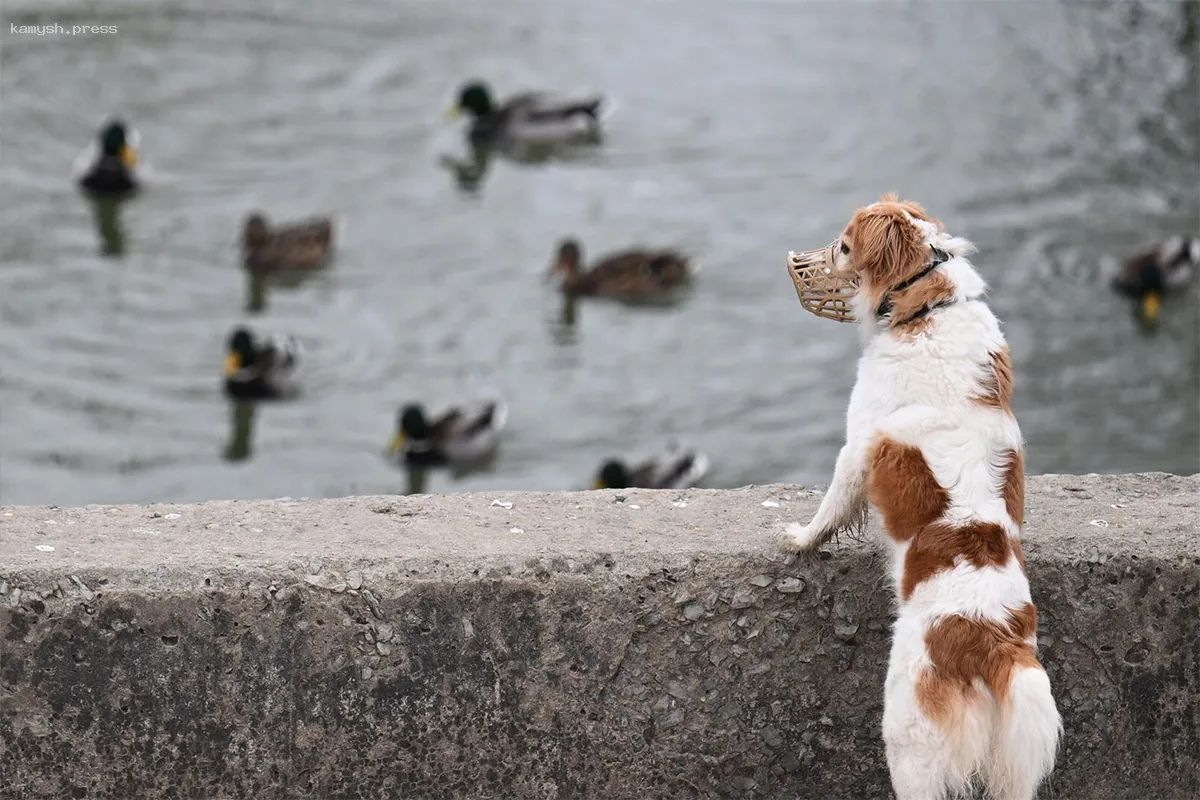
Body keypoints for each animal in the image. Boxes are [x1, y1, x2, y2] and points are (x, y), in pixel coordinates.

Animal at [782, 194, 1065, 800]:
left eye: (844, 246)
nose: (802, 264)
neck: (929, 307)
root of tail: (993, 643)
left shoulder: (857, 443)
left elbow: (831, 506)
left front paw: (800, 539)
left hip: (908, 738)